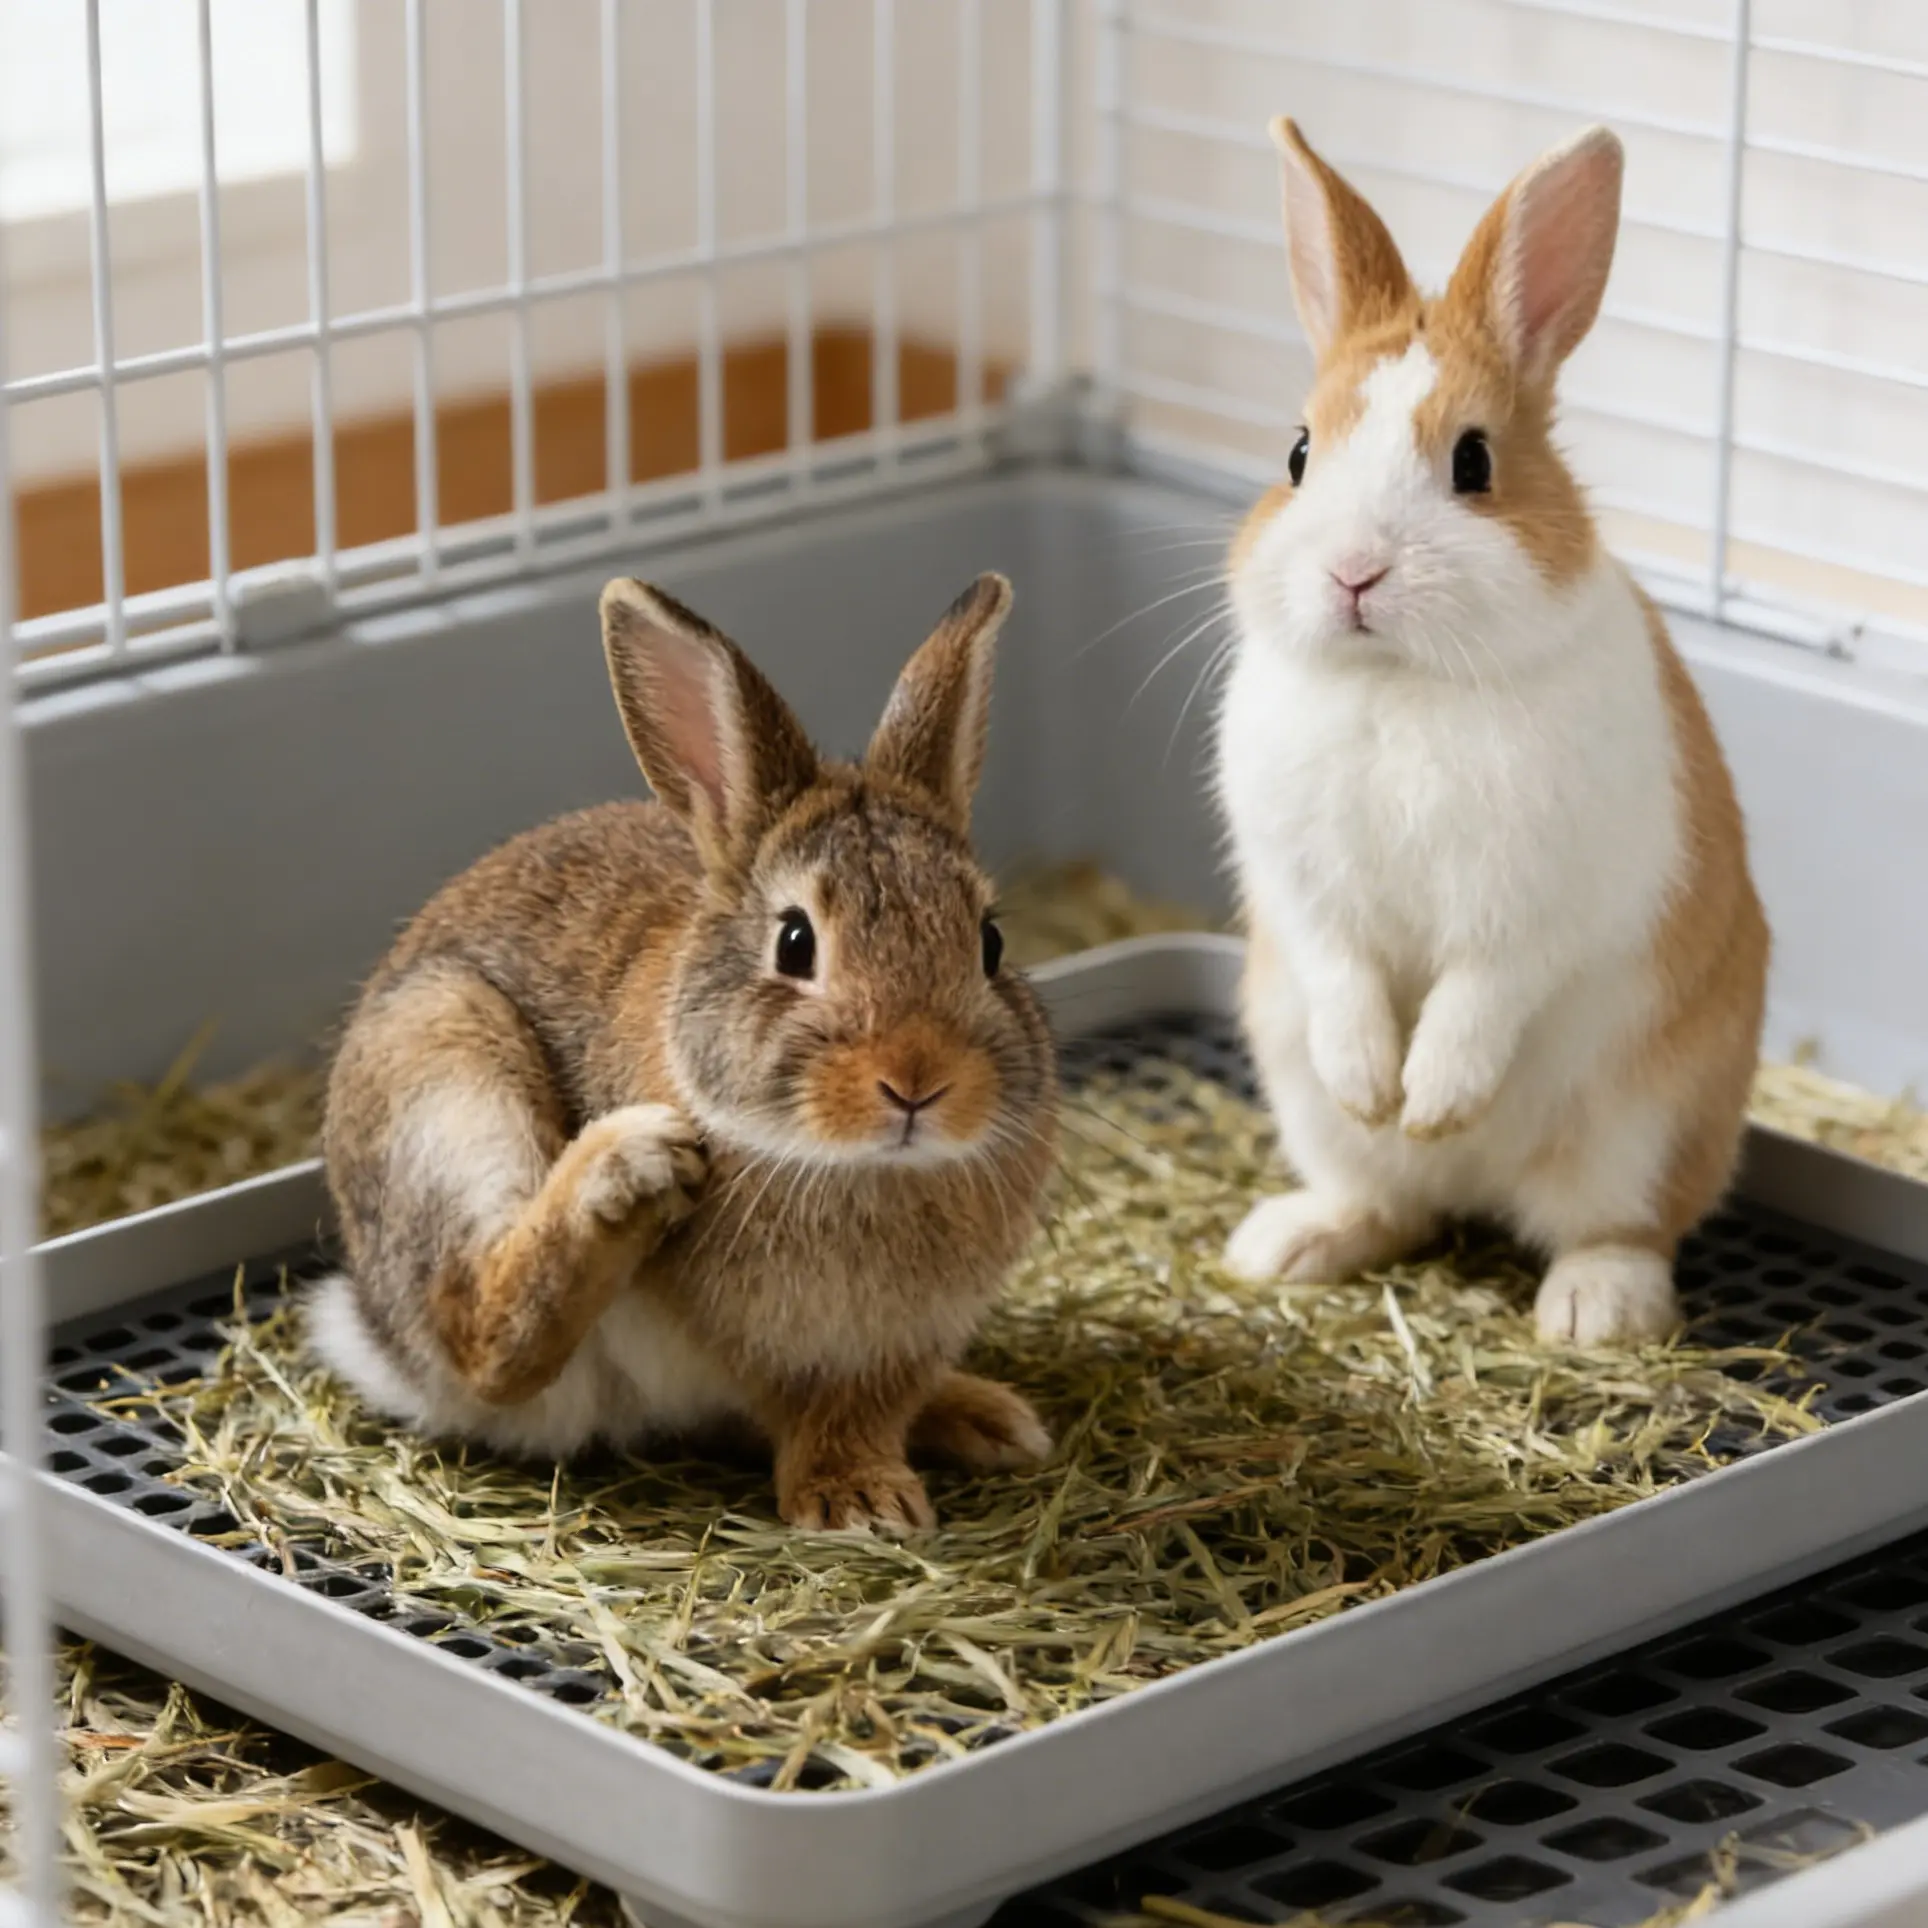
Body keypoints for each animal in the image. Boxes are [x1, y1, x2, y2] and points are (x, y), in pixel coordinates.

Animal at [312, 571, 1059, 1533]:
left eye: (990, 943)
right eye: (794, 943)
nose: (917, 1081)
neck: (856, 1165)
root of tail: (376, 1336)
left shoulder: (893, 1350)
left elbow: (855, 1410)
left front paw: (869, 1489)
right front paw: (856, 1508)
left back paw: (991, 1419)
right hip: (445, 1071)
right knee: (485, 1339)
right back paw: (627, 1167)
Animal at [1214, 118, 1769, 1346]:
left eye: (1472, 462)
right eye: (1296, 455)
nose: (1352, 571)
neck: (1402, 681)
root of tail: (1479, 1191)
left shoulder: (1538, 902)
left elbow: (1482, 991)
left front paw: (1432, 1097)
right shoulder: (1303, 893)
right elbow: (1344, 974)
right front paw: (1380, 1086)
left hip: (1647, 1120)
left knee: (1618, 1225)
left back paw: (1590, 1310)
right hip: (1289, 1070)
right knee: (1388, 1198)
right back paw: (1290, 1241)